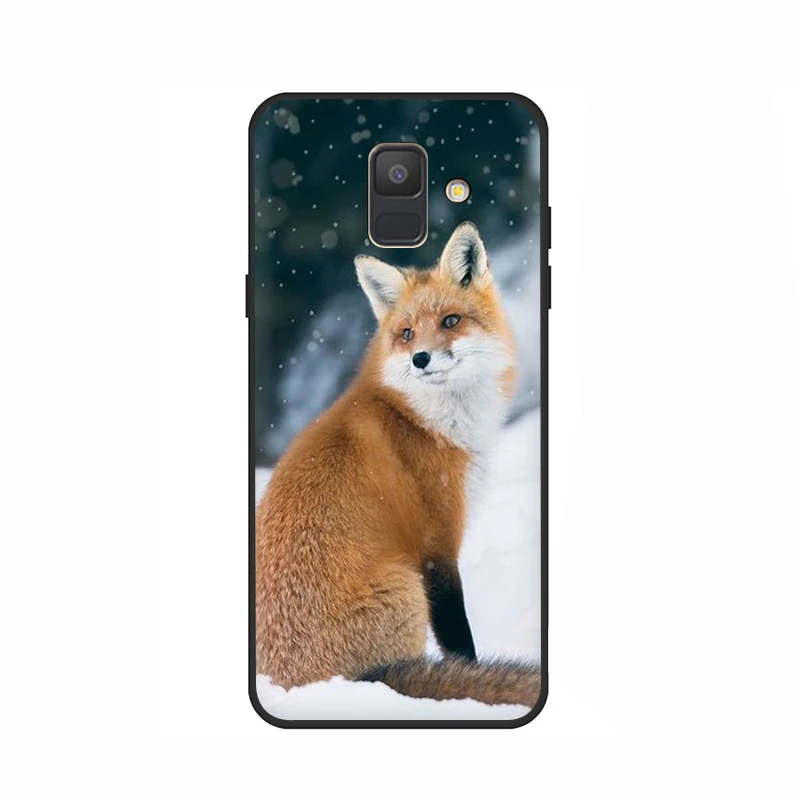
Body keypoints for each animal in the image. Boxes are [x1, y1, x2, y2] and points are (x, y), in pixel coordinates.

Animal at [255, 222, 540, 707]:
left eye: (450, 321)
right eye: (407, 332)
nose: (419, 359)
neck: (421, 418)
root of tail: (295, 686)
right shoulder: (437, 546)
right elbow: (461, 645)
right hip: (407, 590)